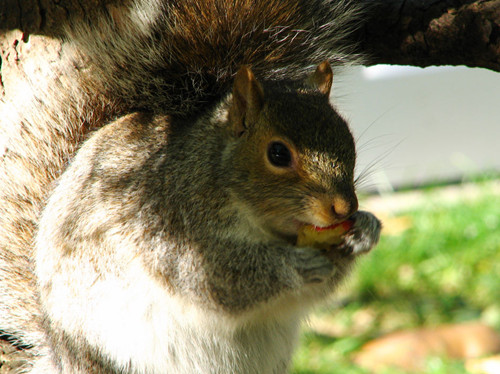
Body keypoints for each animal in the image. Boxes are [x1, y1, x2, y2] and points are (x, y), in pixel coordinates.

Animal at [0, 0, 380, 374]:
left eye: (349, 140)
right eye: (278, 153)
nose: (344, 208)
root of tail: (60, 358)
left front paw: (366, 228)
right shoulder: (172, 228)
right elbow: (221, 280)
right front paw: (296, 265)